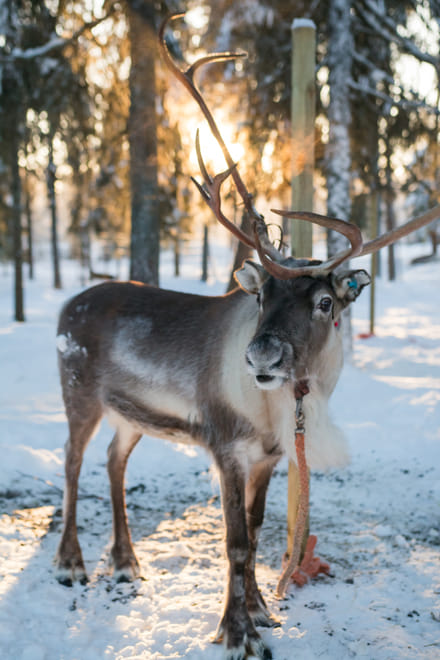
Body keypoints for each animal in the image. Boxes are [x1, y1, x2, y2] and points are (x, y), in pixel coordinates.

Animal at [54, 13, 440, 660]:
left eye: (326, 301)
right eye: (261, 296)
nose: (260, 353)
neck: (280, 407)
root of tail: (67, 303)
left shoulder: (269, 457)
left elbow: (258, 535)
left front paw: (261, 610)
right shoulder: (225, 447)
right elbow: (233, 541)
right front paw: (237, 634)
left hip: (130, 413)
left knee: (113, 460)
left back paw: (127, 562)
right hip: (78, 393)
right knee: (72, 461)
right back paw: (71, 563)